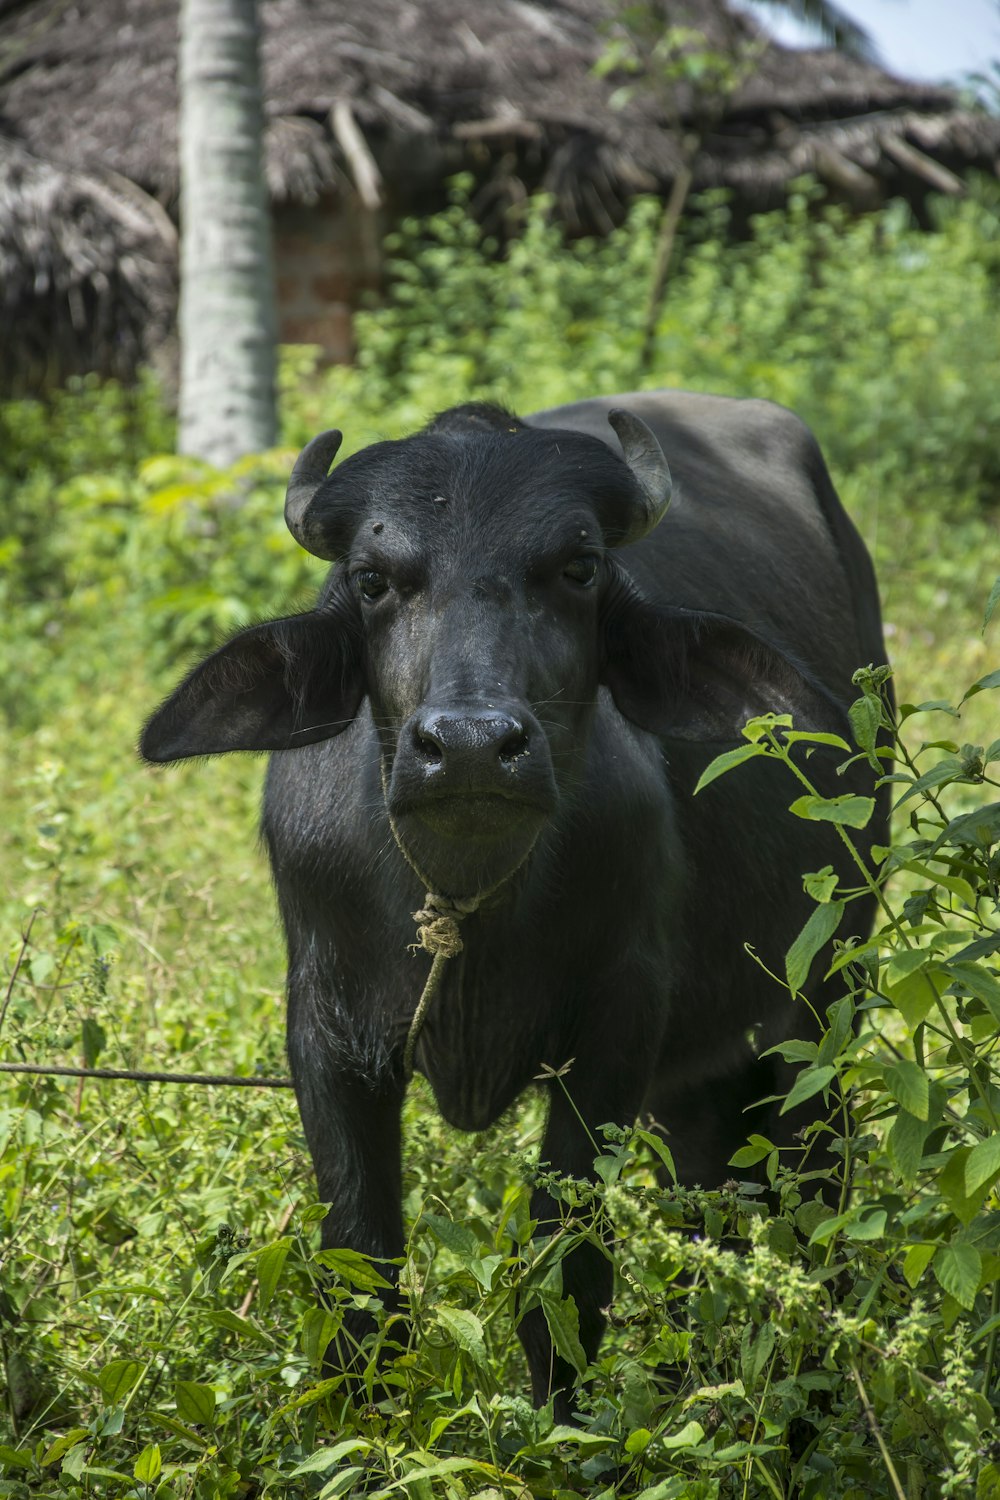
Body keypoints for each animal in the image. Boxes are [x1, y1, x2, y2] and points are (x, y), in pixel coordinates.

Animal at [140, 390, 881, 1416]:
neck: (465, 900)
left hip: (825, 1010)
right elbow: (363, 1276)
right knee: (714, 1195)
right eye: (372, 579)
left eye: (577, 568)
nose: (471, 745)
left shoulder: (614, 1035)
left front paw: (563, 1425)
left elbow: (562, 1279)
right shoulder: (324, 1035)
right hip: (704, 1067)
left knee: (813, 1194)